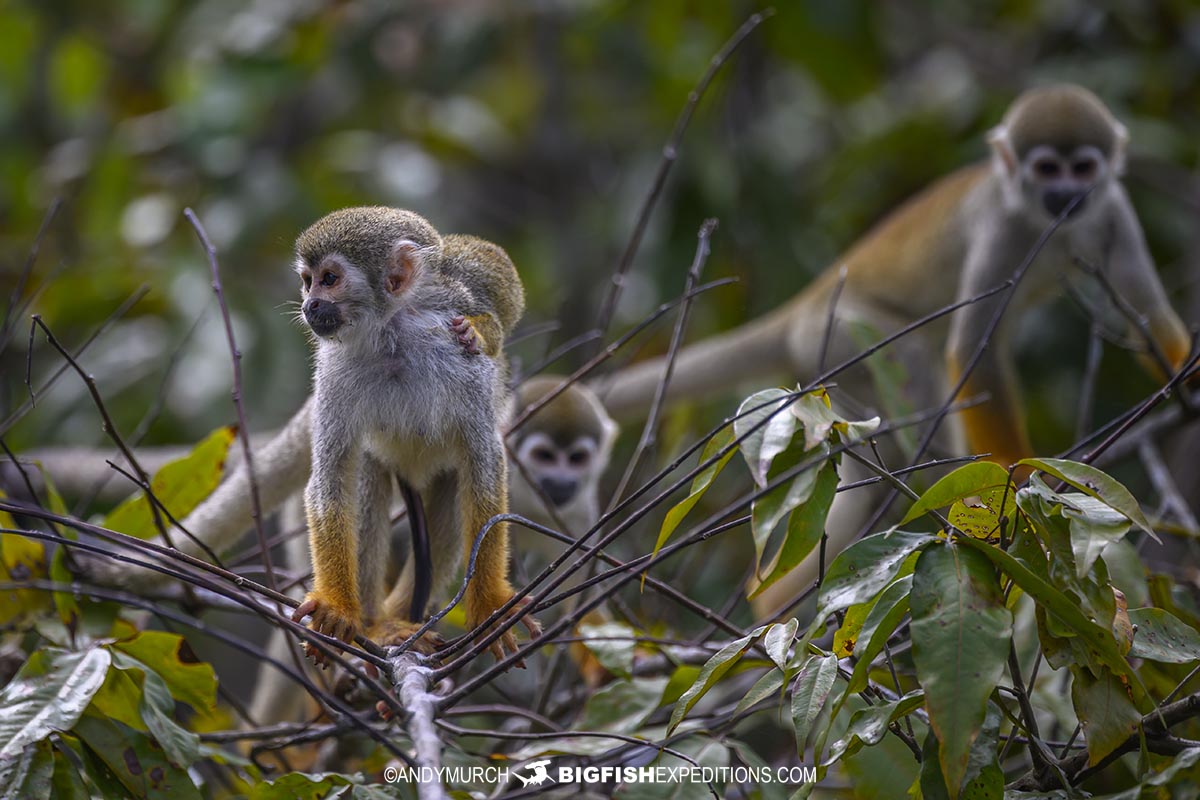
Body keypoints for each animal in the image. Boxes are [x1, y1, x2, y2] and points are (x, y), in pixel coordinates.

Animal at [591, 84, 1194, 617]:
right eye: (1047, 169)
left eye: (1083, 169)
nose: (1065, 195)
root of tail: (806, 305)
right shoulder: (1001, 226)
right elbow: (974, 349)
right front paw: (1015, 482)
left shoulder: (1113, 207)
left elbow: (1146, 313)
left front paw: (1190, 384)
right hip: (848, 334)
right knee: (917, 394)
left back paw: (770, 601)